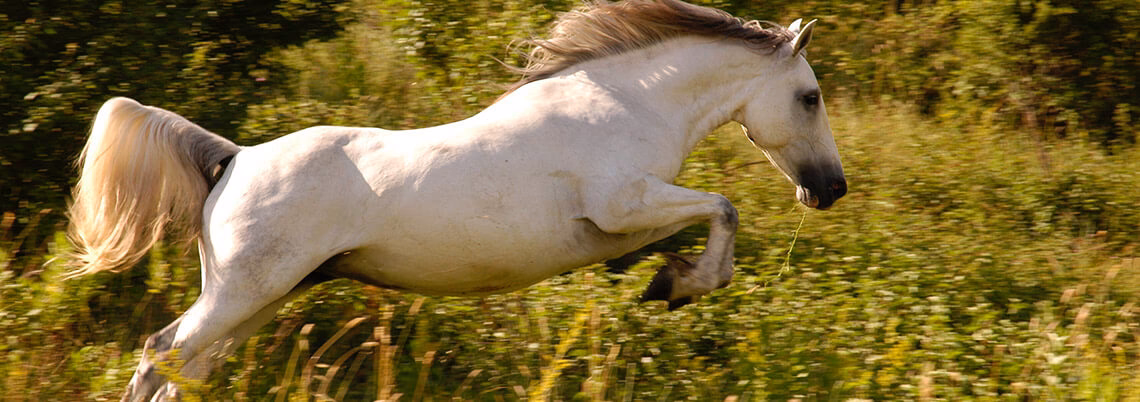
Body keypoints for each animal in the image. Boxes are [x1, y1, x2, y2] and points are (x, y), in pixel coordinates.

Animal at [66, 0, 845, 400]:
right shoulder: (623, 206)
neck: (625, 104)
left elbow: (703, 221)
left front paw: (666, 279)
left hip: (263, 296)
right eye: (809, 97)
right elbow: (721, 207)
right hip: (243, 293)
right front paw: (680, 284)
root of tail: (234, 158)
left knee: (183, 368)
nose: (830, 189)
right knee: (160, 353)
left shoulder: (628, 223)